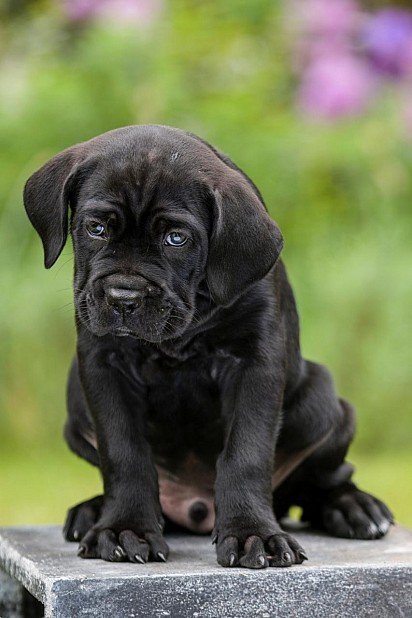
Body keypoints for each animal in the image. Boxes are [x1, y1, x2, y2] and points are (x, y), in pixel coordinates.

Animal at [23, 125, 392, 568]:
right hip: (75, 403)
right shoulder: (103, 363)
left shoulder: (255, 362)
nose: (123, 297)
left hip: (326, 405)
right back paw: (92, 510)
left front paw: (253, 534)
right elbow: (124, 451)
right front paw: (126, 526)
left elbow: (246, 452)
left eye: (176, 238)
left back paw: (353, 507)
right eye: (96, 228)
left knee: (323, 481)